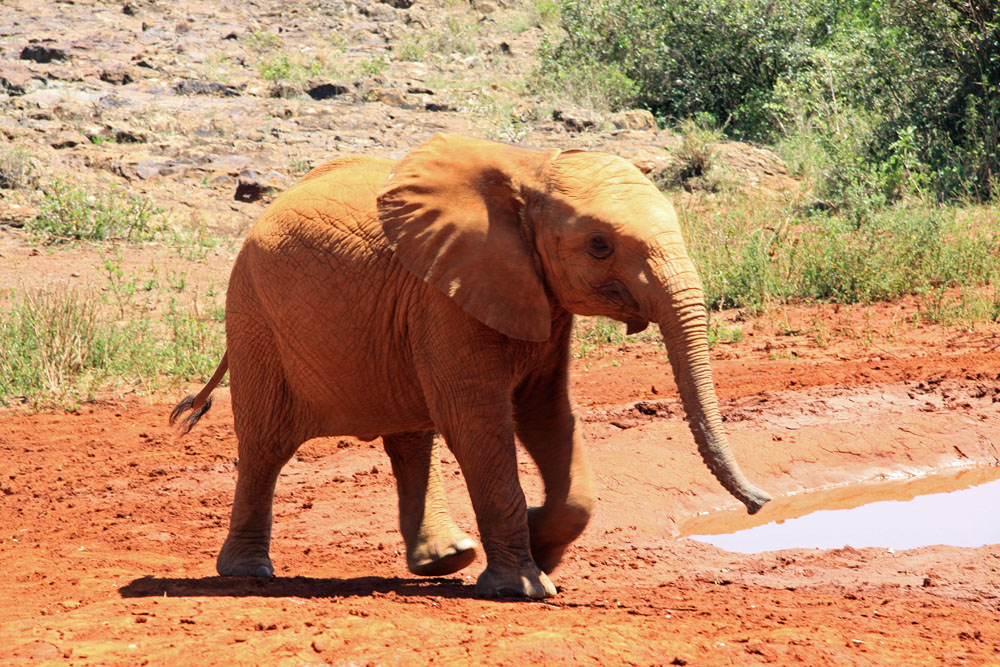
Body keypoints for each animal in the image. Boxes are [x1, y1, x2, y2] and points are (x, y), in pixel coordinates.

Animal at [172, 132, 768, 600]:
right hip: (254, 317)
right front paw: (523, 588)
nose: (760, 504)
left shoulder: (534, 299)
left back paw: (448, 558)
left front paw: (542, 544)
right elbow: (479, 423)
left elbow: (548, 414)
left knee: (410, 438)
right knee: (266, 443)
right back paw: (250, 573)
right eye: (600, 245)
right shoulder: (448, 296)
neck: (530, 171)